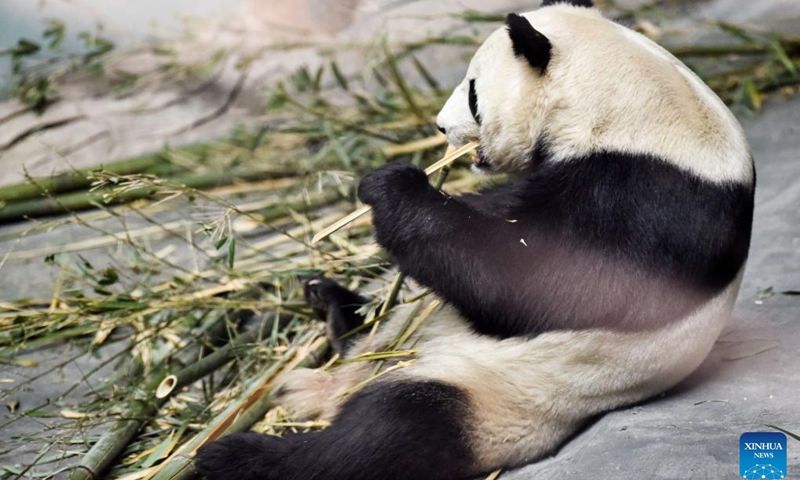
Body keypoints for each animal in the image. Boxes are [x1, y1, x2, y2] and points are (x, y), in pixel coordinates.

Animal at [195, 0, 755, 479]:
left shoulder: (649, 199)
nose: (441, 128)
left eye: (471, 92)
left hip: (497, 395)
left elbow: (526, 279)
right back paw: (332, 305)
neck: (636, 107)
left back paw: (236, 458)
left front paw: (391, 186)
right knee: (378, 334)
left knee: (387, 433)